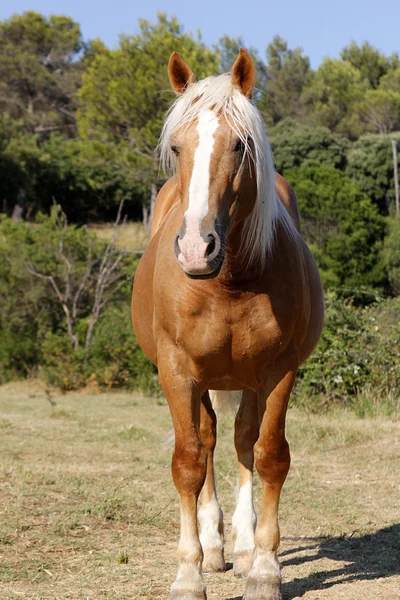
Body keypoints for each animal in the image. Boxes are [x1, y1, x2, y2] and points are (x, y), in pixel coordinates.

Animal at [133, 48, 324, 600]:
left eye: (241, 146)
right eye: (177, 146)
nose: (197, 248)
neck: (229, 282)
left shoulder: (278, 373)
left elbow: (269, 455)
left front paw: (263, 569)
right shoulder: (177, 373)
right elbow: (189, 462)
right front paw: (188, 572)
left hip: (247, 380)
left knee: (241, 441)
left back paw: (239, 547)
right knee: (211, 442)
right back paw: (215, 547)